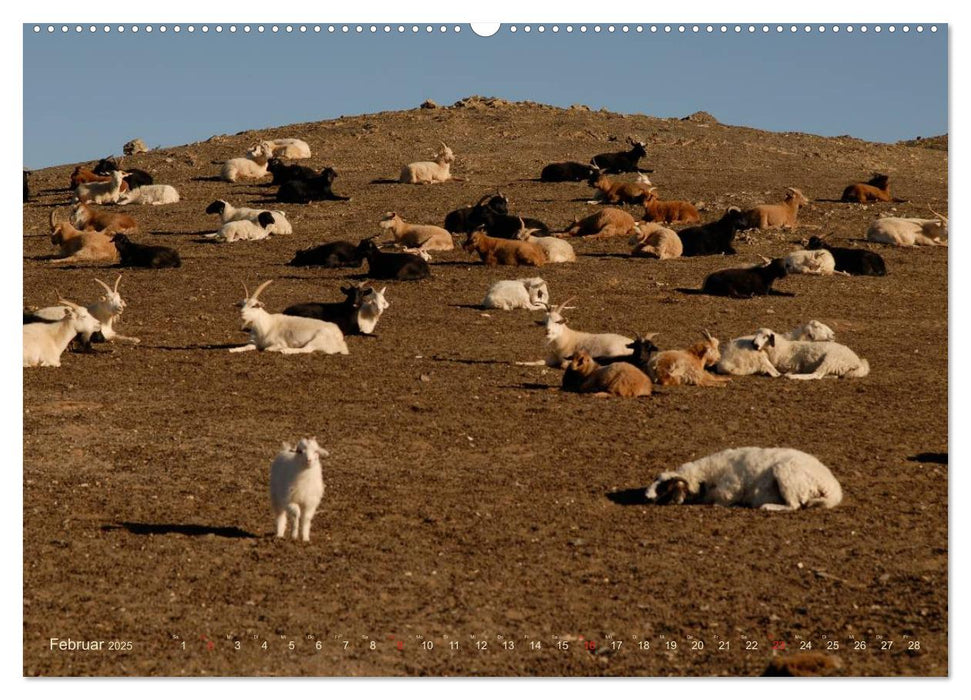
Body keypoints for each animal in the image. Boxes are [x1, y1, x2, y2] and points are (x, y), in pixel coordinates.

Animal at [644, 446, 844, 512]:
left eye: (664, 487)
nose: (646, 496)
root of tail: (833, 489)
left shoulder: (729, 490)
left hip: (786, 474)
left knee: (794, 506)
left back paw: (768, 507)